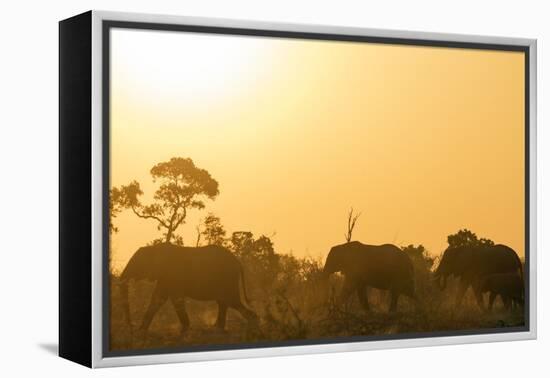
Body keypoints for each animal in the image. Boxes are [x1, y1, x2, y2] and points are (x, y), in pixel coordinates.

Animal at [119, 242, 258, 334]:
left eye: (137, 263)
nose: (132, 325)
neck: (154, 248)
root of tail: (238, 262)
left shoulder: (172, 274)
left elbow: (175, 299)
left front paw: (184, 330)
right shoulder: (165, 277)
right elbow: (158, 298)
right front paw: (141, 331)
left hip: (228, 279)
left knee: (231, 301)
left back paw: (253, 327)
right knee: (223, 302)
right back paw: (217, 329)